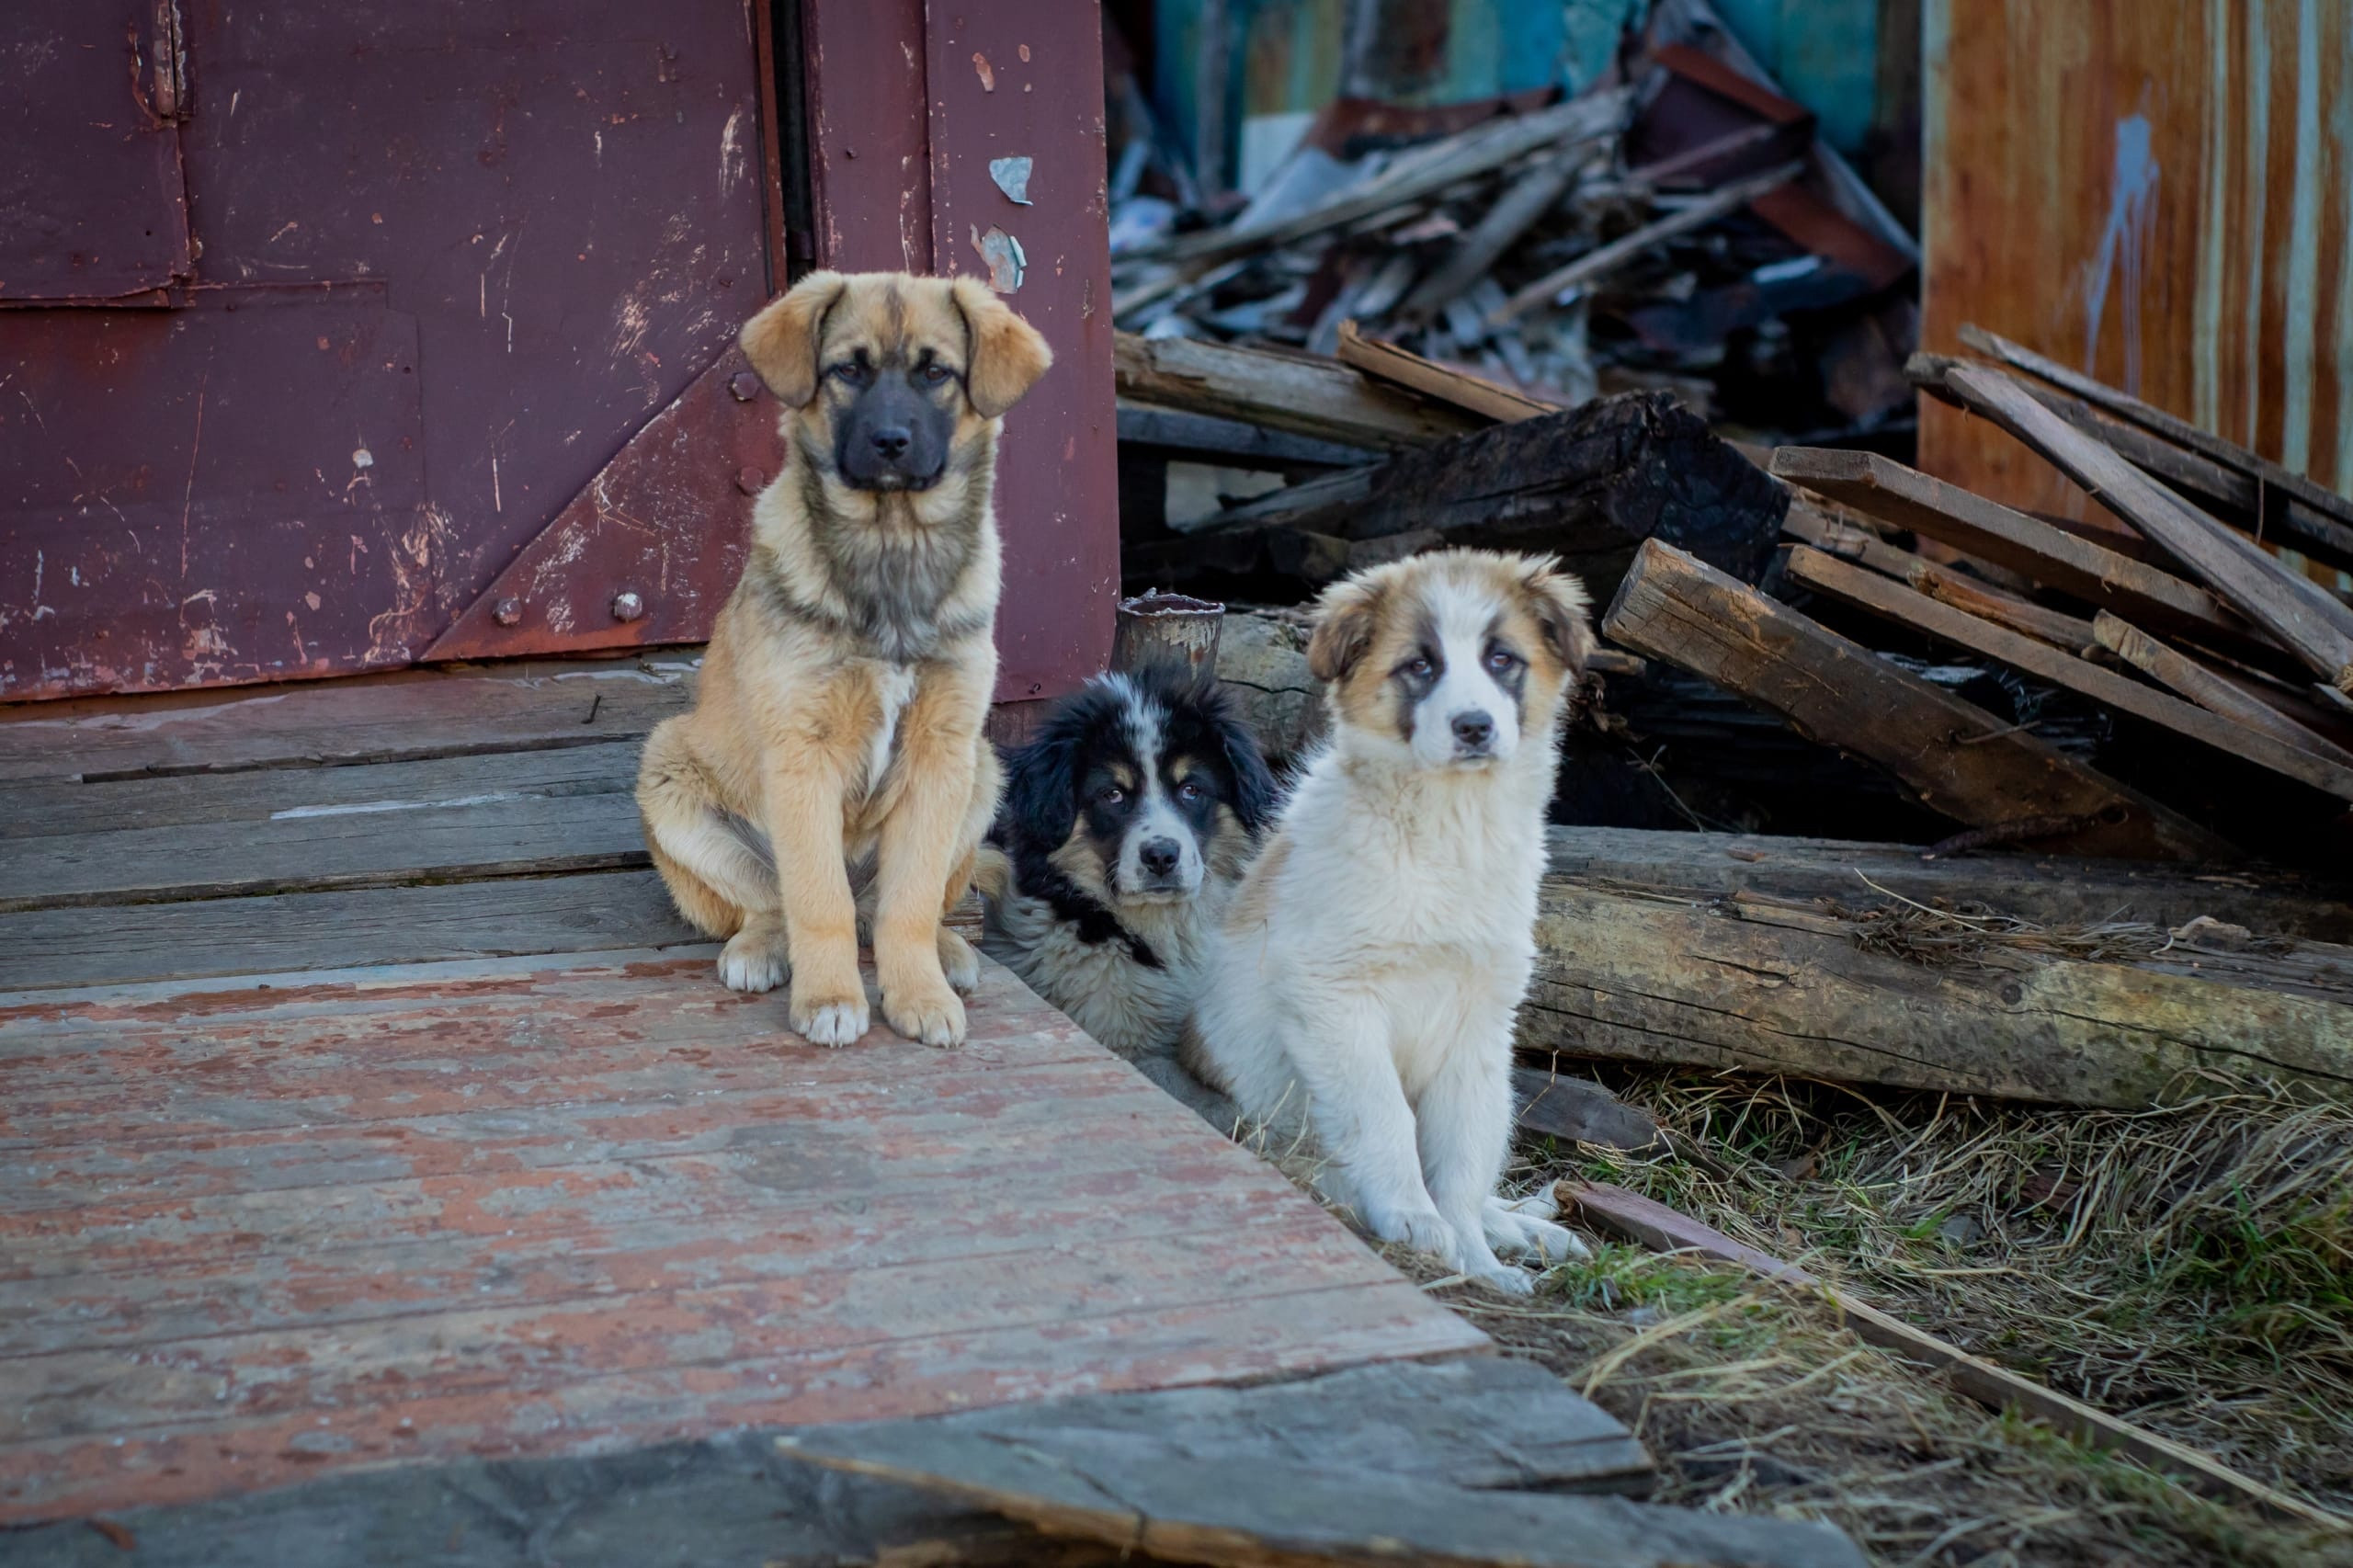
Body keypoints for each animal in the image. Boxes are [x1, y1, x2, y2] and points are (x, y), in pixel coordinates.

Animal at [640, 273, 1053, 1045]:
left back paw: (948, 951)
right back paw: (759, 948)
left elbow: (910, 902)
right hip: (670, 777)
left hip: (982, 773)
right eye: (849, 371)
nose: (890, 442)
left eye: (935, 373)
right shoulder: (803, 754)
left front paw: (917, 993)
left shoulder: (941, 751)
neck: (890, 548)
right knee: (773, 900)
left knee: (894, 904)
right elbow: (816, 900)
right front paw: (829, 998)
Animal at [1176, 552, 1599, 1290]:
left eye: (1501, 659)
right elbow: (1387, 1118)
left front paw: (1478, 1261)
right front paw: (1416, 1220)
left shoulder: (1479, 1024)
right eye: (1420, 665)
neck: (1444, 830)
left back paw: (1521, 1230)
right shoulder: (1334, 999)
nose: (1473, 727)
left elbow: (1460, 1157)